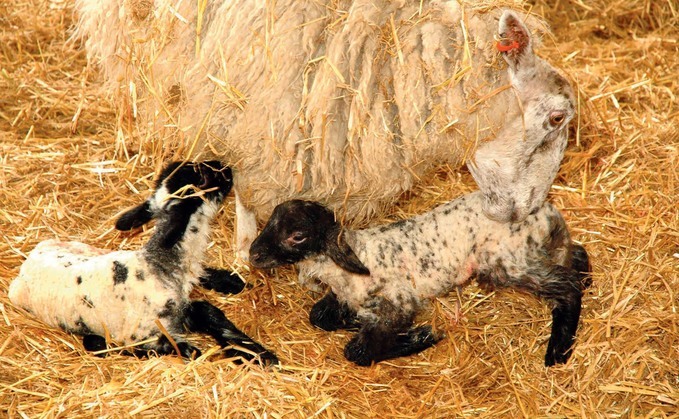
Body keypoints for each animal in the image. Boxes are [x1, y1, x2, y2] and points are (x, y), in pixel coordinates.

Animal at [8, 161, 278, 365]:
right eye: (202, 177)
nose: (227, 167)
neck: (159, 266)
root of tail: (28, 261)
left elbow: (209, 313)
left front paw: (260, 354)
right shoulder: (140, 334)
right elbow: (188, 348)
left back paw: (231, 281)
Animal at [248, 192, 591, 367]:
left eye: (297, 235)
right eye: (269, 222)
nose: (252, 254)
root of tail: (547, 212)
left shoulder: (401, 301)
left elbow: (359, 352)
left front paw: (421, 336)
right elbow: (319, 316)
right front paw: (354, 321)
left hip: (509, 263)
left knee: (567, 287)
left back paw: (558, 351)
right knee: (576, 254)